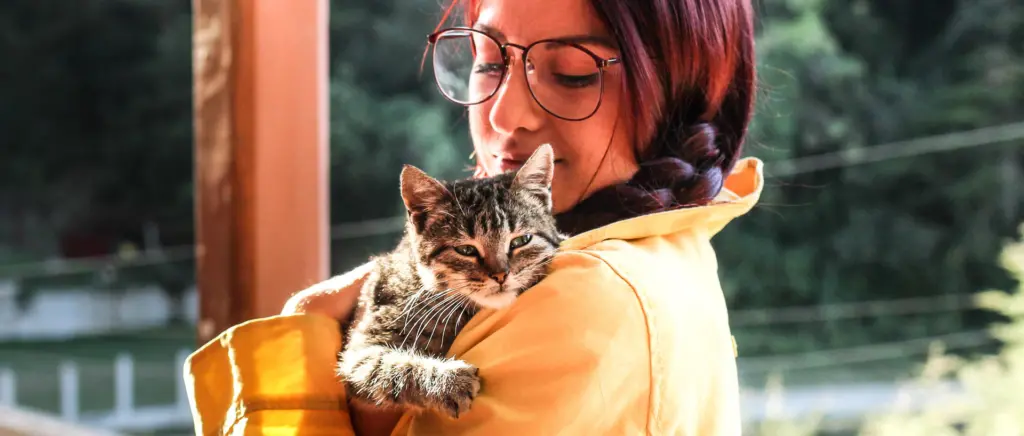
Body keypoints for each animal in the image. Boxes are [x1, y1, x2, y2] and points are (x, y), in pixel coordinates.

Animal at [335, 144, 565, 419]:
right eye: (466, 250)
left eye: (521, 240)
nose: (500, 275)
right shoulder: (360, 351)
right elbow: (393, 367)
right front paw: (446, 382)